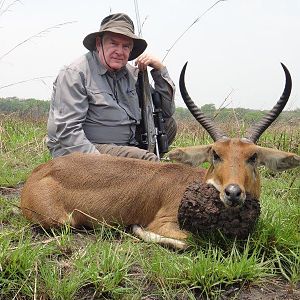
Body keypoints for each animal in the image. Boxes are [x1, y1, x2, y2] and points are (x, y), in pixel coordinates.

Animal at [19, 62, 298, 248]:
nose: (232, 192)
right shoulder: (164, 223)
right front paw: (135, 228)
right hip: (64, 221)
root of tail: (38, 173)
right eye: (215, 154)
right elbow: (191, 240)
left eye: (253, 156)